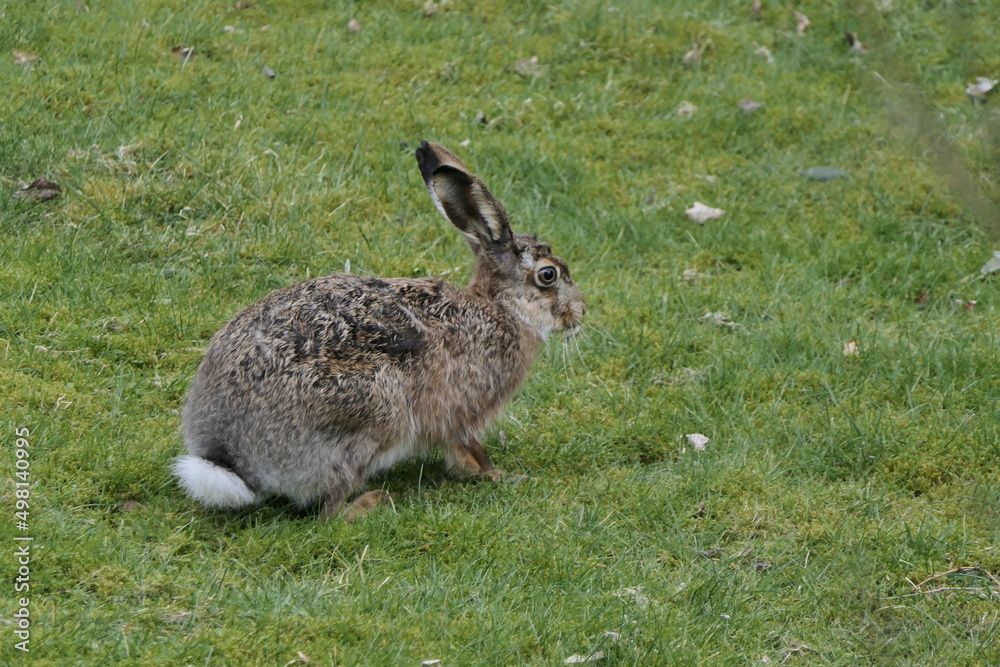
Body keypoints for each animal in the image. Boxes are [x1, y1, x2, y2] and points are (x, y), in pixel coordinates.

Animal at [174, 141, 585, 520]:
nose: (580, 311)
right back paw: (371, 502)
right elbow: (469, 451)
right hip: (377, 414)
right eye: (548, 275)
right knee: (329, 509)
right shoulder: (464, 409)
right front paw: (501, 476)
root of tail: (230, 455)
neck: (503, 308)